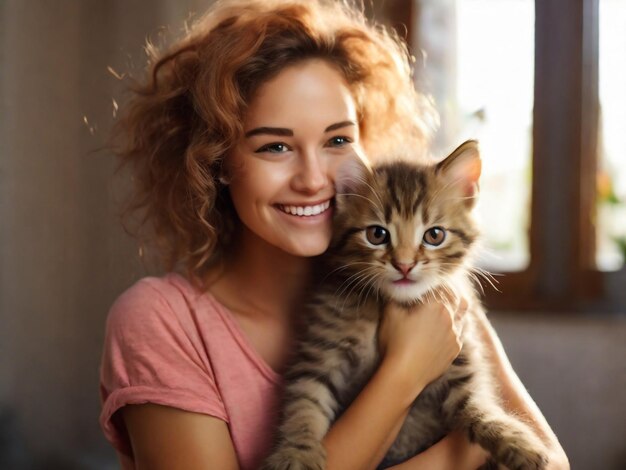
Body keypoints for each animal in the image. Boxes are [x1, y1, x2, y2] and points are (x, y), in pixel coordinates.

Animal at [260, 140, 548, 470]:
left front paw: (516, 442)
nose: (405, 264)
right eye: (377, 234)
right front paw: (296, 453)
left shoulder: (461, 360)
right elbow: (304, 405)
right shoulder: (320, 352)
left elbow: (478, 405)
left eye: (434, 235)